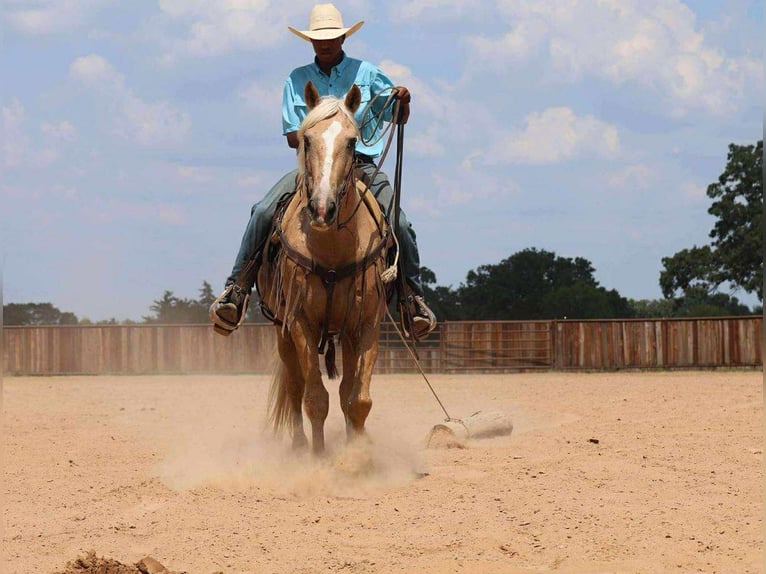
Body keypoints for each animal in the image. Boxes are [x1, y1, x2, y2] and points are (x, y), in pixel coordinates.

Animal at [258, 81, 393, 454]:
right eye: (306, 139)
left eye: (351, 141)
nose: (322, 208)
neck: (332, 252)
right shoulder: (300, 323)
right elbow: (315, 398)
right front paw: (319, 458)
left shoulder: (366, 323)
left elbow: (357, 400)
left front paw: (358, 455)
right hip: (282, 330)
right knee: (294, 386)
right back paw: (299, 447)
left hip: (343, 333)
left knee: (345, 390)